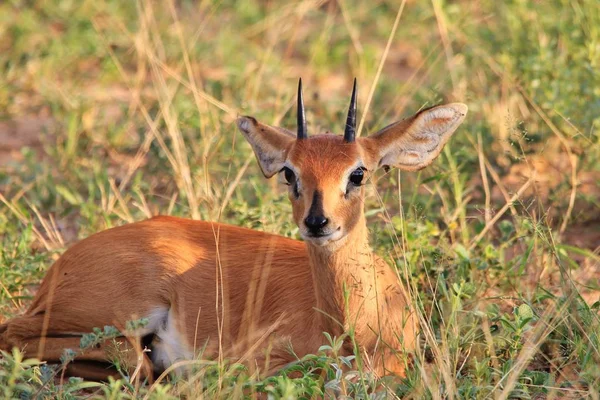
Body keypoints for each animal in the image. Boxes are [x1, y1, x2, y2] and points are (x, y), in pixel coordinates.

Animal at [0, 79, 468, 382]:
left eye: (359, 173)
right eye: (289, 173)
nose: (318, 222)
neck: (351, 329)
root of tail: (62, 265)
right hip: (115, 310)